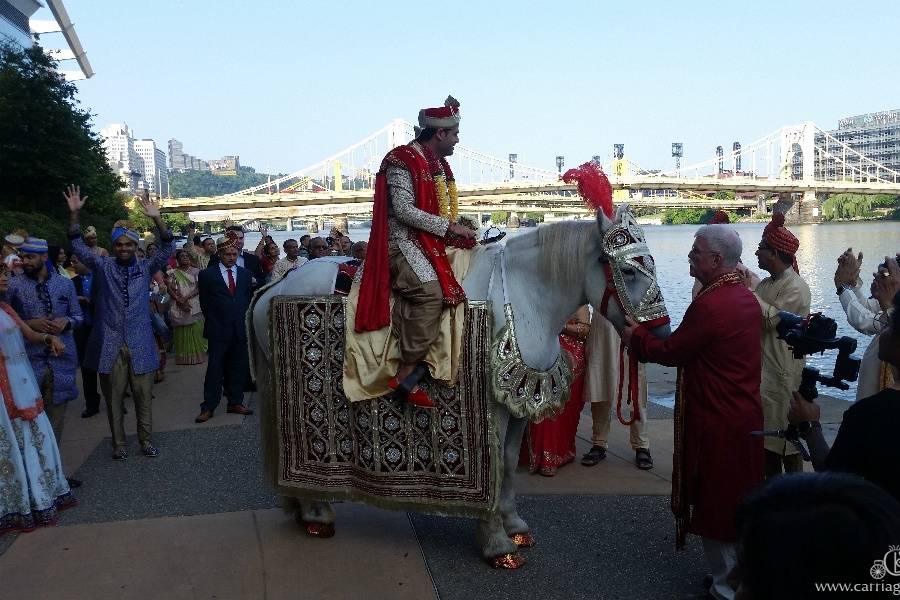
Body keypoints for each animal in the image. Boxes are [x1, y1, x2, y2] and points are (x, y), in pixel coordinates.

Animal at [251, 209, 668, 568]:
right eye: (628, 269)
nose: (661, 332)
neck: (528, 297)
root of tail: (276, 286)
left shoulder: (518, 404)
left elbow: (509, 464)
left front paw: (514, 527)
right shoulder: (492, 407)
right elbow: (494, 467)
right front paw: (497, 544)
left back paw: (305, 508)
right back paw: (317, 513)